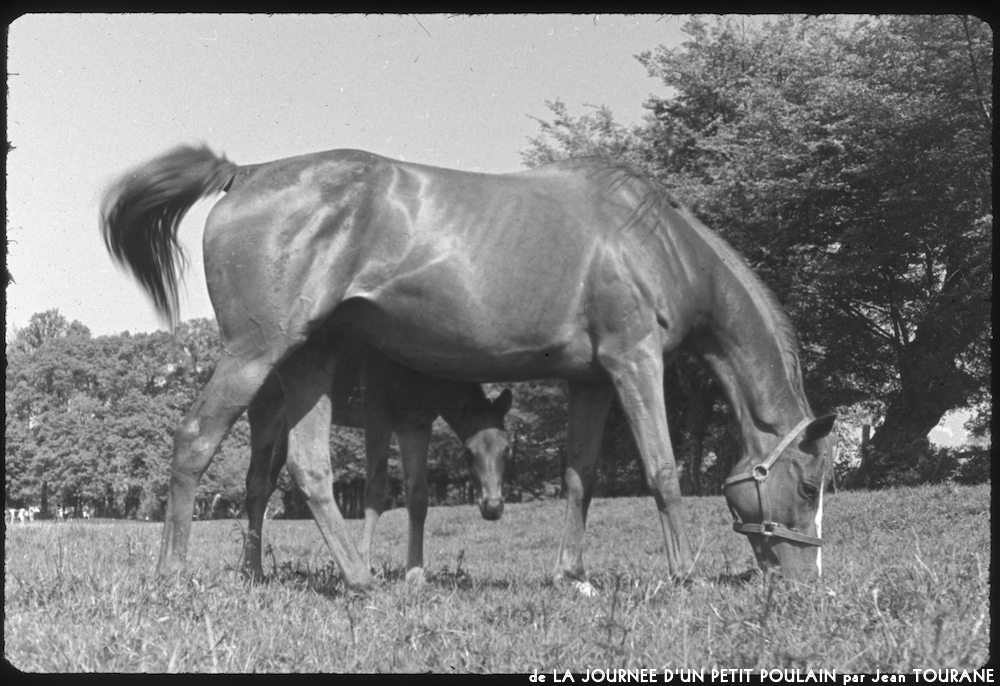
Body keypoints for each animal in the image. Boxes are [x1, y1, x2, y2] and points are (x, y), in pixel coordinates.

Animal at [242, 341, 512, 584]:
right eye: (468, 451)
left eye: (507, 449)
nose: (493, 507)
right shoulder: (376, 417)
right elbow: (375, 492)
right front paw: (366, 564)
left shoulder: (416, 426)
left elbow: (418, 497)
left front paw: (415, 575)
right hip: (265, 409)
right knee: (257, 484)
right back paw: (253, 570)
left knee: (266, 482)